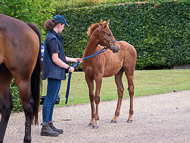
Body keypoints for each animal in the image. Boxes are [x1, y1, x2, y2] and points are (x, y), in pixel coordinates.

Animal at [0, 14, 40, 143]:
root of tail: (27, 26)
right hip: (3, 76)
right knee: (6, 107)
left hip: (22, 78)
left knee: (28, 106)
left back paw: (27, 139)